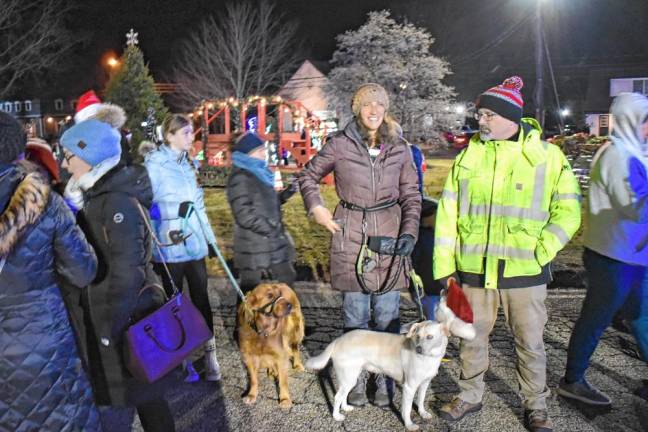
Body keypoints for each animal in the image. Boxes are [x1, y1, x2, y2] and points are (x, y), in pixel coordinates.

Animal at [304, 298, 476, 430]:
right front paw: (409, 425)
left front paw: (423, 413)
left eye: (429, 337)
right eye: (418, 336)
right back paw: (336, 416)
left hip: (351, 376)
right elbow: (407, 409)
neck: (429, 358)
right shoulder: (409, 387)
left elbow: (420, 401)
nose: (418, 349)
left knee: (343, 395)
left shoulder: (424, 384)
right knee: (337, 396)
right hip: (349, 376)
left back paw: (345, 407)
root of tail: (338, 340)